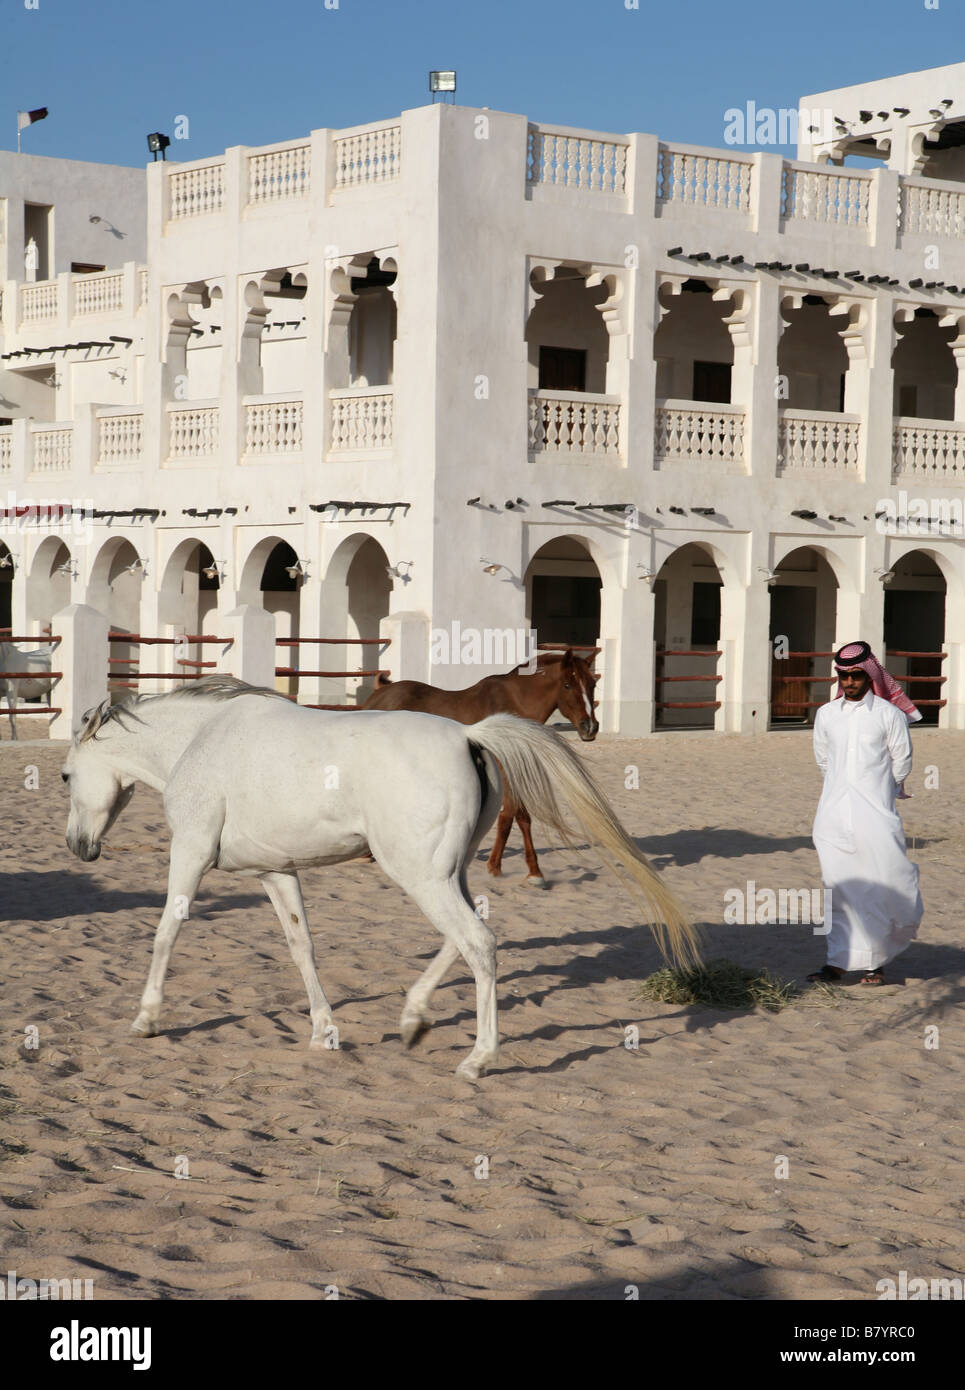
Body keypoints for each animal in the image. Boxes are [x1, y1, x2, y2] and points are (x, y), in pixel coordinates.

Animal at [62, 678, 703, 1078]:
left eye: (67, 775)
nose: (77, 847)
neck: (199, 741)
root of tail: (468, 736)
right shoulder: (277, 872)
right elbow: (301, 947)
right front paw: (324, 1033)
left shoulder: (191, 853)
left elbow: (165, 934)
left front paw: (146, 1020)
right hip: (444, 873)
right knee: (462, 942)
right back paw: (413, 1019)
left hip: (419, 875)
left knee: (478, 943)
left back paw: (477, 1060)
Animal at [361, 647, 597, 884]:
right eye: (567, 685)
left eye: (593, 684)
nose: (590, 727)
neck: (513, 705)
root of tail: (378, 694)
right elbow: (512, 815)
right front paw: (499, 867)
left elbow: (520, 817)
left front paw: (531, 871)